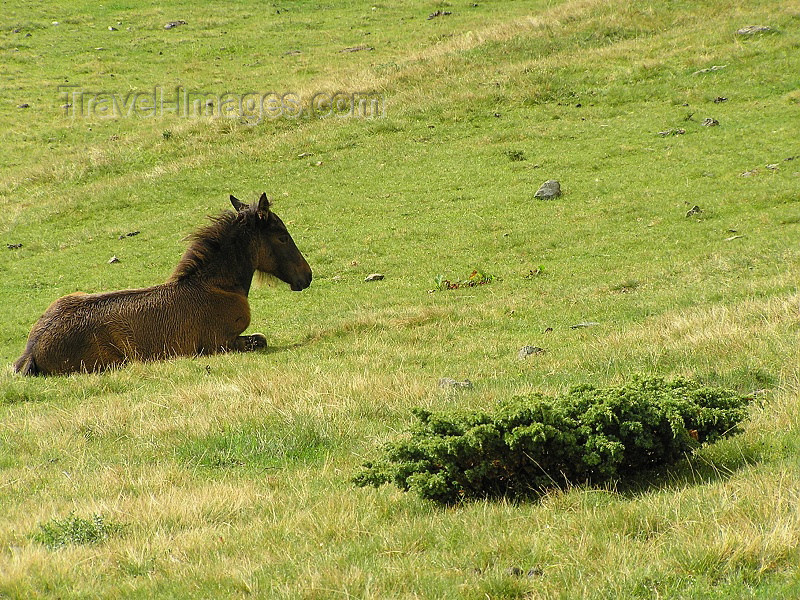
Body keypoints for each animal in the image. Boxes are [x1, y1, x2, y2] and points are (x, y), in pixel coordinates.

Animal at [14, 193, 312, 376]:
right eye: (283, 236)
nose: (306, 276)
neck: (216, 286)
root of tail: (32, 350)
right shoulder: (218, 343)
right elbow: (260, 340)